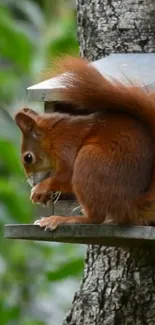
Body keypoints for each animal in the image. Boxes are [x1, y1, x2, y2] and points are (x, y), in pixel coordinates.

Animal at [14, 57, 155, 229]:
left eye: (28, 158)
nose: (31, 182)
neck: (53, 135)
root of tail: (129, 205)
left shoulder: (65, 146)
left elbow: (66, 176)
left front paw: (39, 189)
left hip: (89, 161)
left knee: (95, 218)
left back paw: (62, 219)